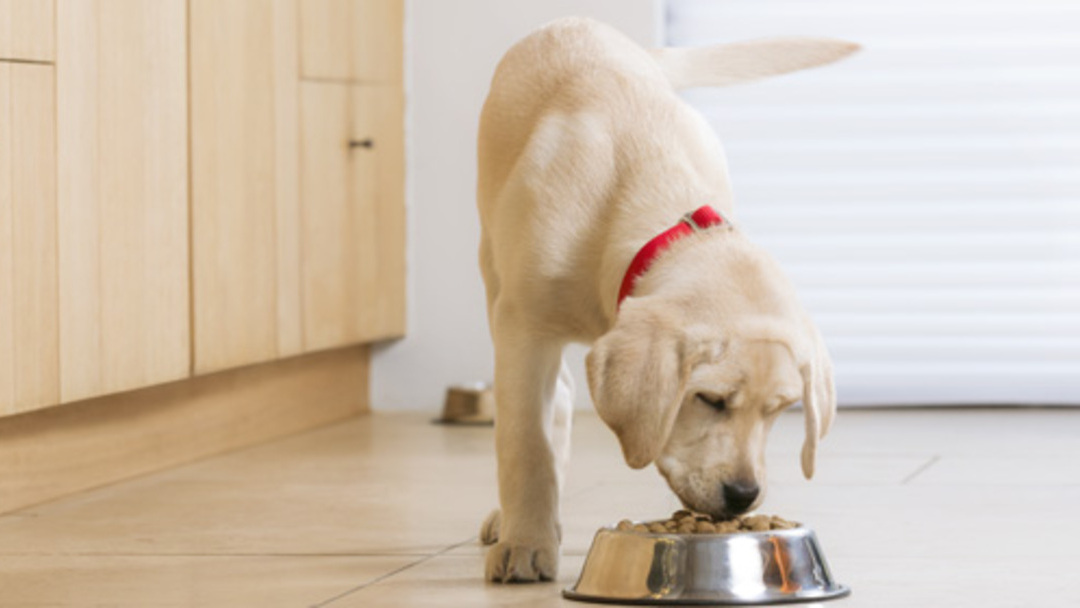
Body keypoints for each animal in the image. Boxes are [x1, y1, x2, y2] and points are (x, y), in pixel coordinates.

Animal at [477, 16, 855, 583]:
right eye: (710, 400)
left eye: (780, 409)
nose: (743, 495)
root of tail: (577, 22)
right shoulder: (524, 328)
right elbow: (526, 444)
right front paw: (525, 543)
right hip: (492, 269)